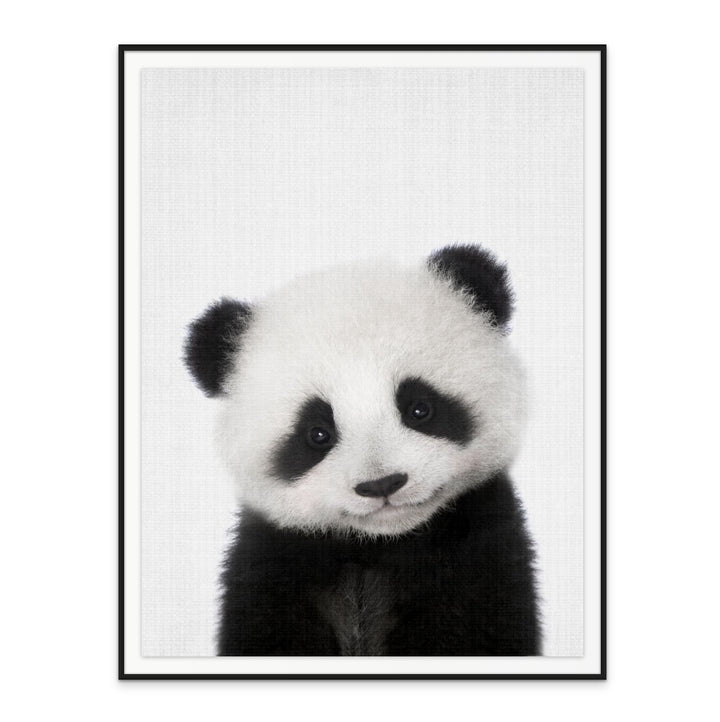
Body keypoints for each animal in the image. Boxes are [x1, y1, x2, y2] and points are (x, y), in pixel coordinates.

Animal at [184, 244, 540, 656]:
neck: (377, 546)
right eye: (317, 433)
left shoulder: (478, 550)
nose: (382, 484)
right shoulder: (274, 562)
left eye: (420, 408)